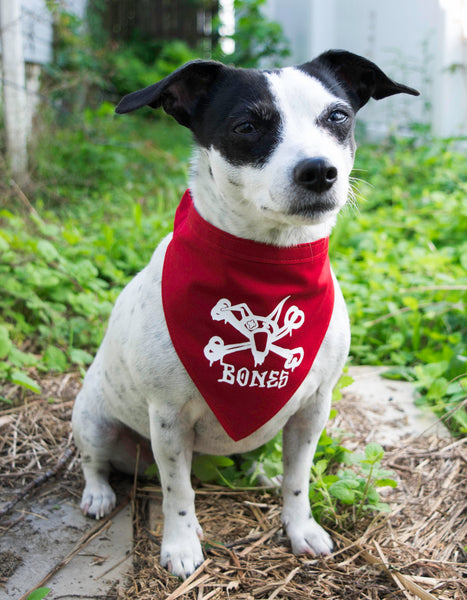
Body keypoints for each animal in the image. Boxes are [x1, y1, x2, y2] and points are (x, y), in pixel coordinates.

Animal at [74, 50, 420, 576]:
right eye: (247, 125)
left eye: (337, 116)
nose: (319, 171)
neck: (268, 263)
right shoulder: (169, 418)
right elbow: (177, 491)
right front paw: (181, 545)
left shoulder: (313, 409)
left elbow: (298, 479)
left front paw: (300, 528)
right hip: (94, 419)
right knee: (95, 463)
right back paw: (98, 494)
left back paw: (258, 472)